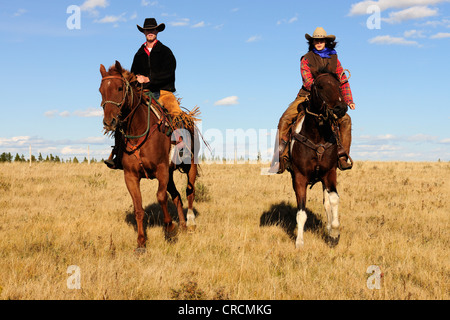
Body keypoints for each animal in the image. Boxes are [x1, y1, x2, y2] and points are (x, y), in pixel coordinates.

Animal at [99, 60, 200, 250]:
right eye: (101, 90)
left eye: (119, 88)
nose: (109, 122)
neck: (138, 130)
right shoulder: (131, 176)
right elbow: (138, 209)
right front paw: (141, 242)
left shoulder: (161, 169)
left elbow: (160, 197)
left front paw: (169, 228)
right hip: (170, 174)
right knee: (177, 196)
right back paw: (183, 226)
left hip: (190, 165)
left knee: (189, 192)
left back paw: (190, 223)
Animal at [290, 70, 350, 249]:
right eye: (321, 86)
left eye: (339, 85)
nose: (341, 108)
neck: (316, 136)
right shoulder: (299, 177)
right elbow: (301, 212)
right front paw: (299, 242)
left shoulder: (330, 173)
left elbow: (334, 200)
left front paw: (334, 234)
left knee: (327, 203)